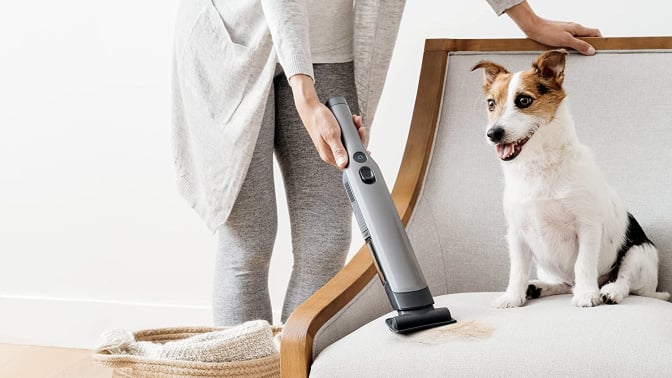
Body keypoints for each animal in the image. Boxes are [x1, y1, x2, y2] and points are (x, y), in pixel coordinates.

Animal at [470, 50, 668, 308]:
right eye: (491, 103)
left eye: (523, 101)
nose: (493, 134)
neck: (539, 166)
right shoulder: (517, 234)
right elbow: (517, 271)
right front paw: (513, 296)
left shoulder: (588, 226)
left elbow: (583, 264)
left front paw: (586, 294)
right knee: (564, 283)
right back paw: (536, 287)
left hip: (640, 252)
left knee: (625, 281)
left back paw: (610, 291)